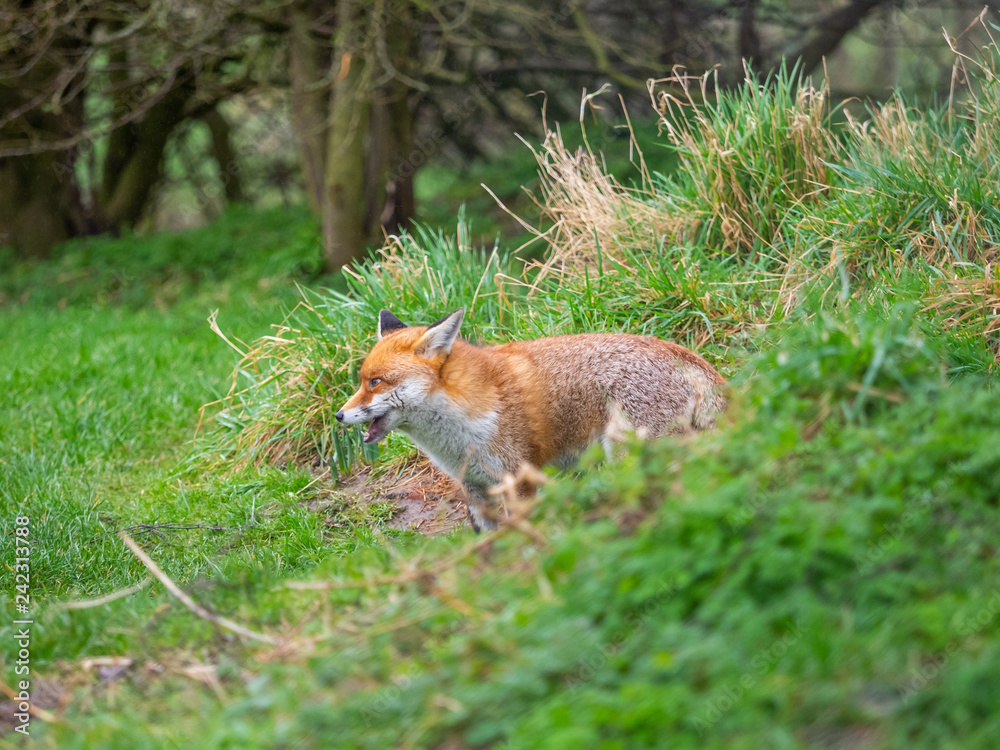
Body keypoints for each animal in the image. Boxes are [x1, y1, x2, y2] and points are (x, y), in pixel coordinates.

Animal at [335, 308, 727, 532]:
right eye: (362, 380)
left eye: (375, 382)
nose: (339, 415)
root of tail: (691, 358)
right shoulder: (474, 486)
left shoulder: (518, 478)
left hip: (628, 457)